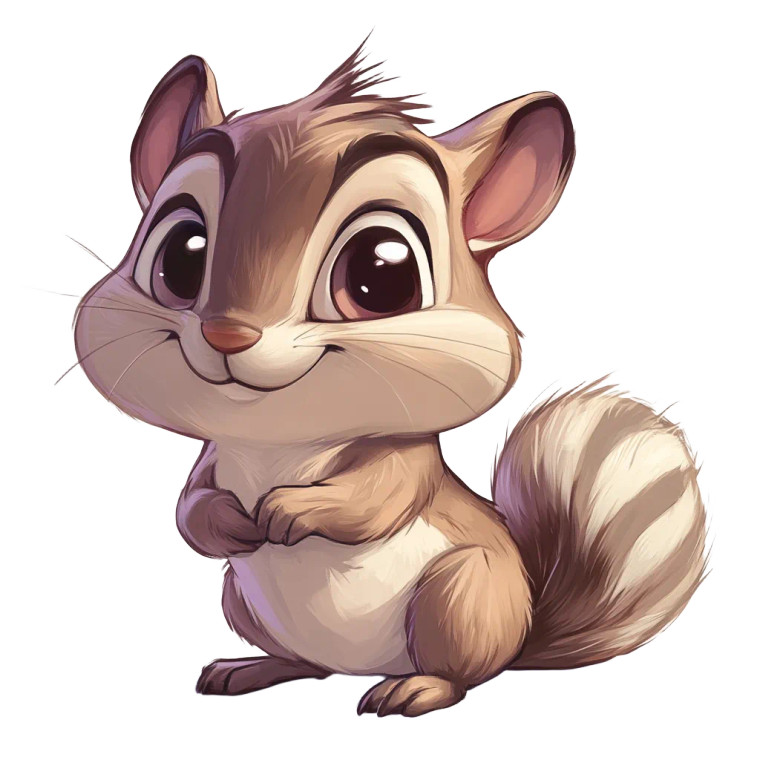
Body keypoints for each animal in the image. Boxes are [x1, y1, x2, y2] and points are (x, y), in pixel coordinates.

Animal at [74, 43, 706, 717]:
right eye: (180, 257)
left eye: (380, 271)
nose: (228, 334)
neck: (280, 445)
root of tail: (526, 627)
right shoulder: (212, 455)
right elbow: (188, 506)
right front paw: (227, 522)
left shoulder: (406, 462)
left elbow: (372, 502)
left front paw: (290, 511)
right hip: (241, 604)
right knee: (307, 664)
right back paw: (249, 668)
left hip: (461, 596)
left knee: (462, 675)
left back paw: (413, 689)